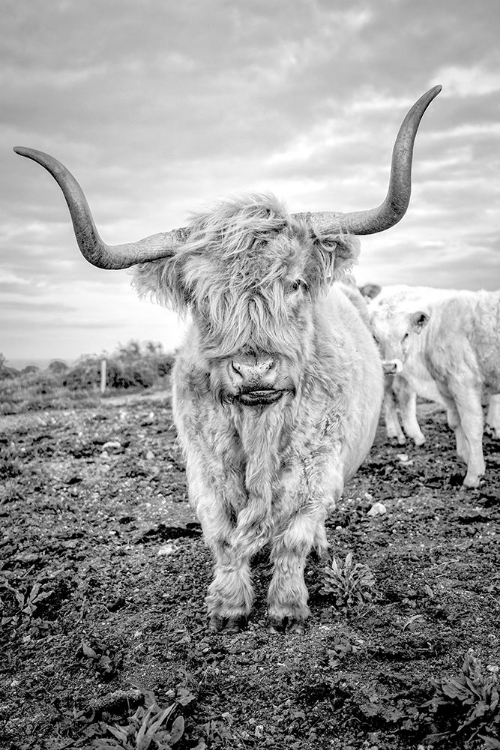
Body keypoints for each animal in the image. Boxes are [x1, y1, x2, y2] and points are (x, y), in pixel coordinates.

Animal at [14, 86, 440, 632]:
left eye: (294, 282)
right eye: (200, 297)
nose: (254, 370)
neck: (259, 425)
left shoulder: (318, 466)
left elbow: (293, 536)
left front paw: (286, 607)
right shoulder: (204, 468)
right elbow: (221, 536)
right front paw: (228, 605)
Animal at [369, 285, 500, 488]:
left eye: (405, 334)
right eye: (375, 337)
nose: (389, 366)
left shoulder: (461, 382)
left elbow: (469, 425)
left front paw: (473, 473)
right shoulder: (450, 384)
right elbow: (456, 422)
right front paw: (469, 459)